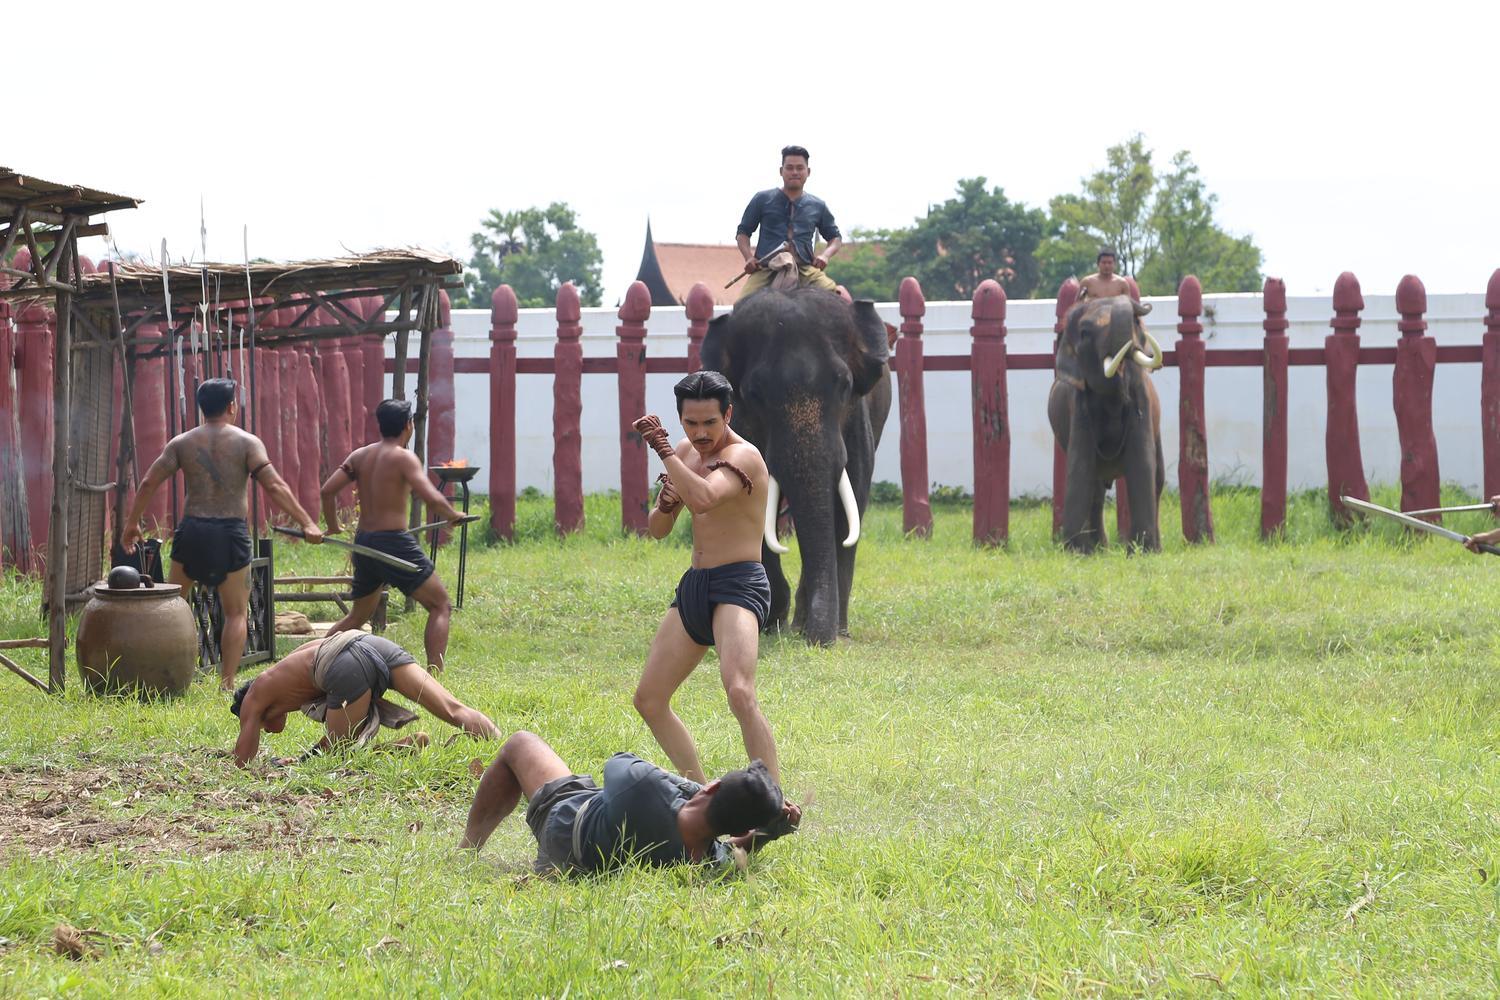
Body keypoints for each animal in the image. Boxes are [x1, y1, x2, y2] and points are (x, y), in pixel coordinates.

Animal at [702, 289, 888, 650]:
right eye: (755, 394)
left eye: (844, 385)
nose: (817, 640)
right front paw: (769, 621)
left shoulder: (858, 422)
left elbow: (851, 502)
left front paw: (834, 631)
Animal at [1050, 293, 1164, 554]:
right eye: (1085, 333)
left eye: (1136, 323)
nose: (1143, 305)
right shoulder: (1079, 406)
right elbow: (1079, 465)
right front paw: (1076, 552)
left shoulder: (1141, 399)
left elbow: (1142, 463)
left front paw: (1142, 552)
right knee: (1096, 489)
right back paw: (1098, 549)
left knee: (1158, 480)